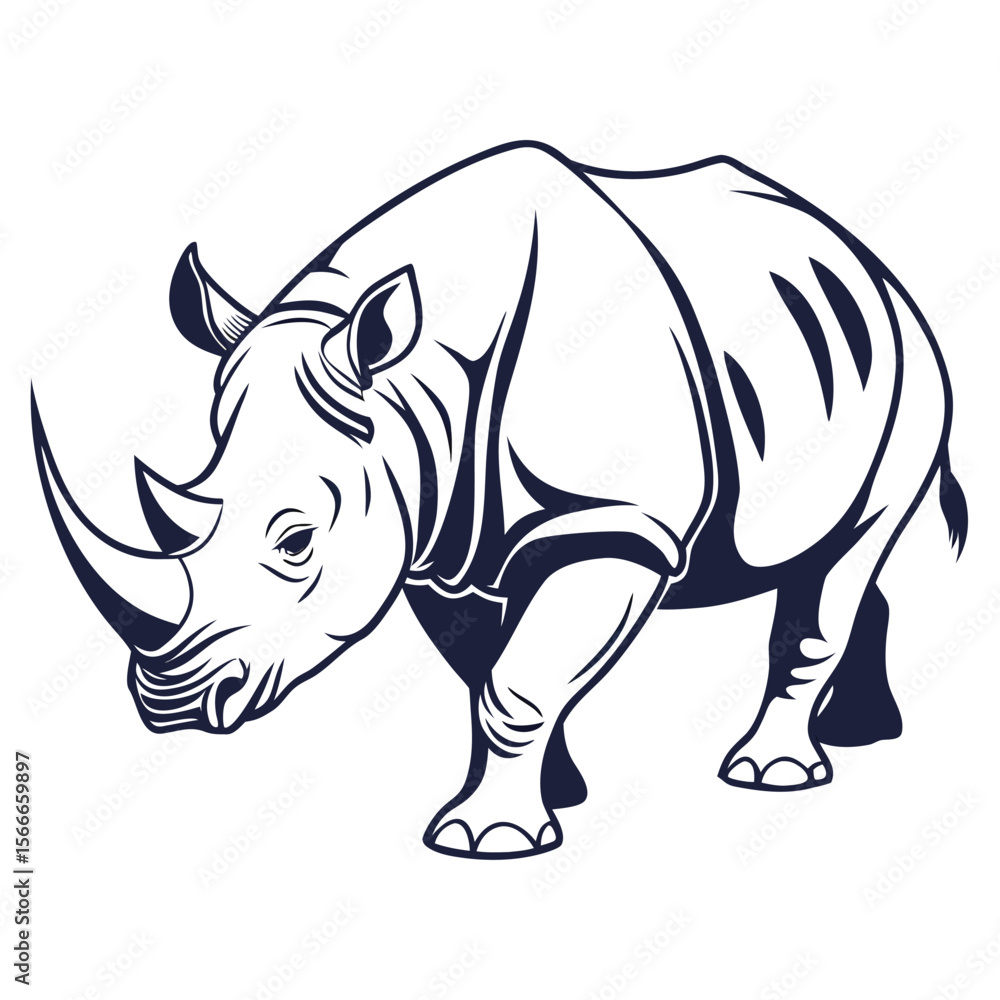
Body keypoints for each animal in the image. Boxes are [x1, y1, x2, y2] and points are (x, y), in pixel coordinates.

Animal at [33, 140, 966, 859]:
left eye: (296, 542)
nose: (166, 707)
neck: (414, 387)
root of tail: (865, 255)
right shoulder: (425, 531)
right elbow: (490, 667)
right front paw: (557, 792)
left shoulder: (611, 522)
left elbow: (518, 682)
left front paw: (487, 841)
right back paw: (860, 736)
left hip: (913, 369)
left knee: (851, 550)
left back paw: (770, 775)